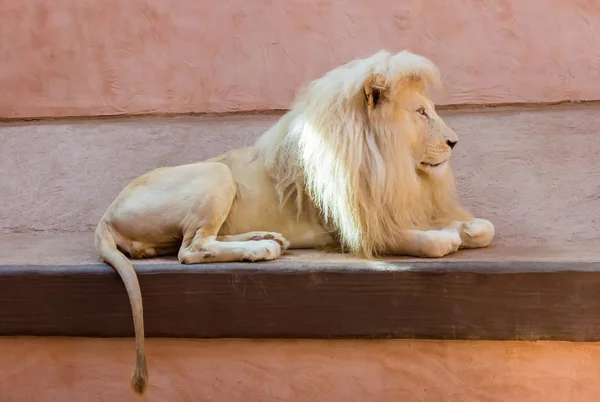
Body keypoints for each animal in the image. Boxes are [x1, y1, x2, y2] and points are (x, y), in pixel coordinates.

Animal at [94, 49, 494, 392]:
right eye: (422, 113)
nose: (455, 142)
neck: (390, 162)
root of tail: (106, 216)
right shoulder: (354, 228)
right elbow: (425, 241)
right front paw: (446, 237)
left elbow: (484, 230)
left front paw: (469, 228)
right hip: (216, 173)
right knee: (191, 249)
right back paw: (262, 250)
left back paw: (264, 238)